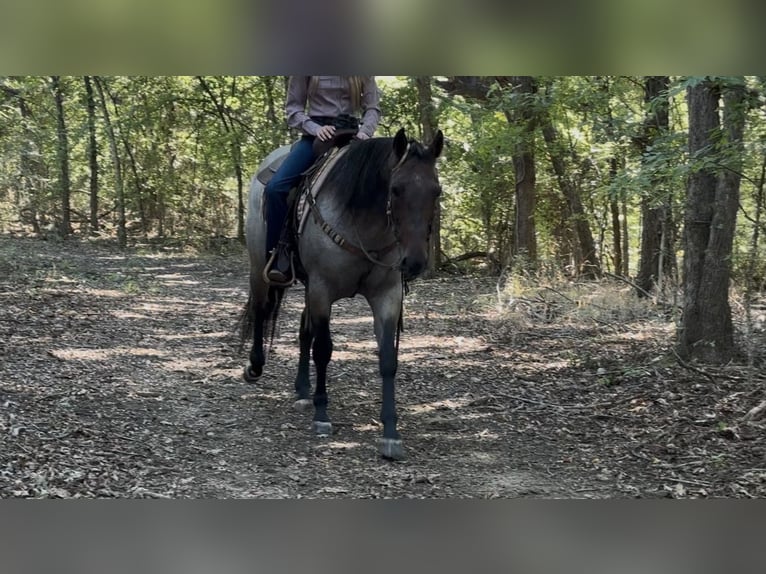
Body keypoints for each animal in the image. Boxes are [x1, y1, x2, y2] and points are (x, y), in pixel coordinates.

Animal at [241, 127, 444, 460]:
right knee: (261, 309)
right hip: (260, 266)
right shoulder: (323, 290)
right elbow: (323, 349)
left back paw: (302, 390)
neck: (363, 222)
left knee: (303, 332)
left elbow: (388, 359)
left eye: (436, 191)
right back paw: (255, 366)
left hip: (307, 285)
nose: (414, 262)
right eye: (396, 189)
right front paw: (322, 416)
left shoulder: (387, 296)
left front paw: (391, 433)